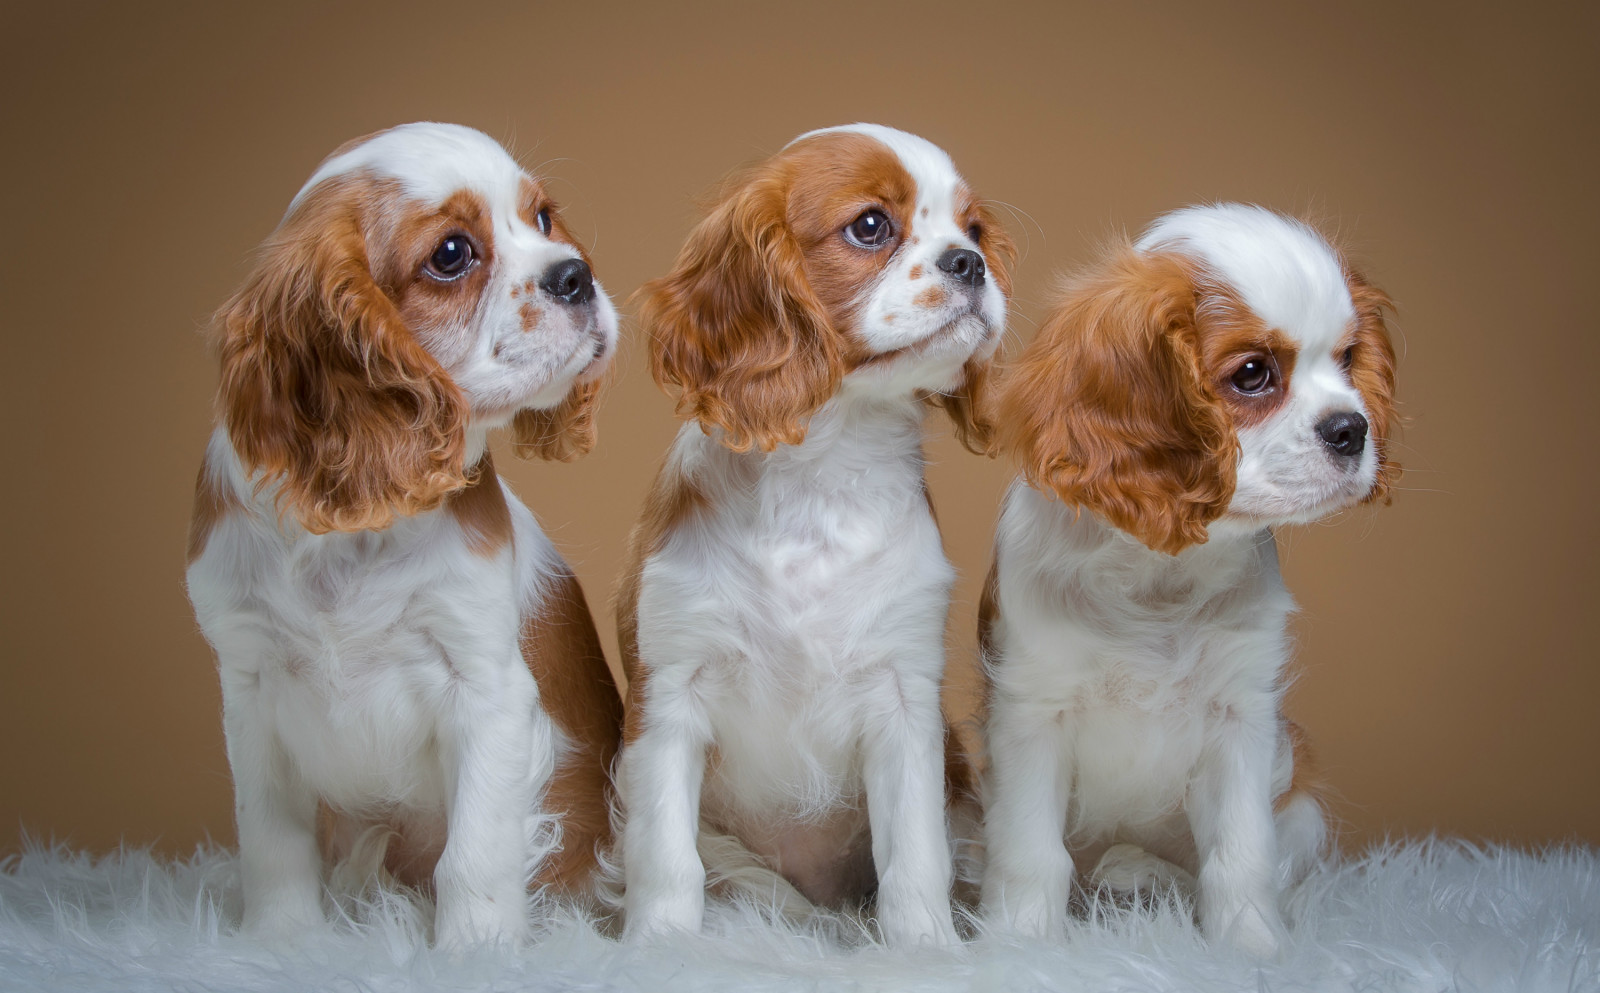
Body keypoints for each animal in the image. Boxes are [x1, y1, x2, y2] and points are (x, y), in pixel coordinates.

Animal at [181, 122, 617, 946]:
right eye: (451, 253)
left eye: (543, 219)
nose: (576, 274)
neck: (355, 532)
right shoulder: (249, 687)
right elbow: (272, 840)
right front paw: (279, 941)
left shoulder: (485, 685)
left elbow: (473, 853)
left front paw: (476, 949)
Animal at [614, 125, 1011, 946]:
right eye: (871, 226)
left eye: (975, 229)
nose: (970, 262)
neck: (823, 471)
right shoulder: (668, 693)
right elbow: (665, 854)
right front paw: (660, 943)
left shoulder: (904, 699)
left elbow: (914, 853)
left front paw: (925, 947)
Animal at [972, 201, 1401, 953]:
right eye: (1253, 373)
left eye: (1348, 359)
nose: (1352, 428)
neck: (1160, 575)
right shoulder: (1032, 714)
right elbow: (1031, 853)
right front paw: (1020, 940)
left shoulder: (1242, 720)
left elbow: (1241, 854)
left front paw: (1252, 945)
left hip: (1301, 797)